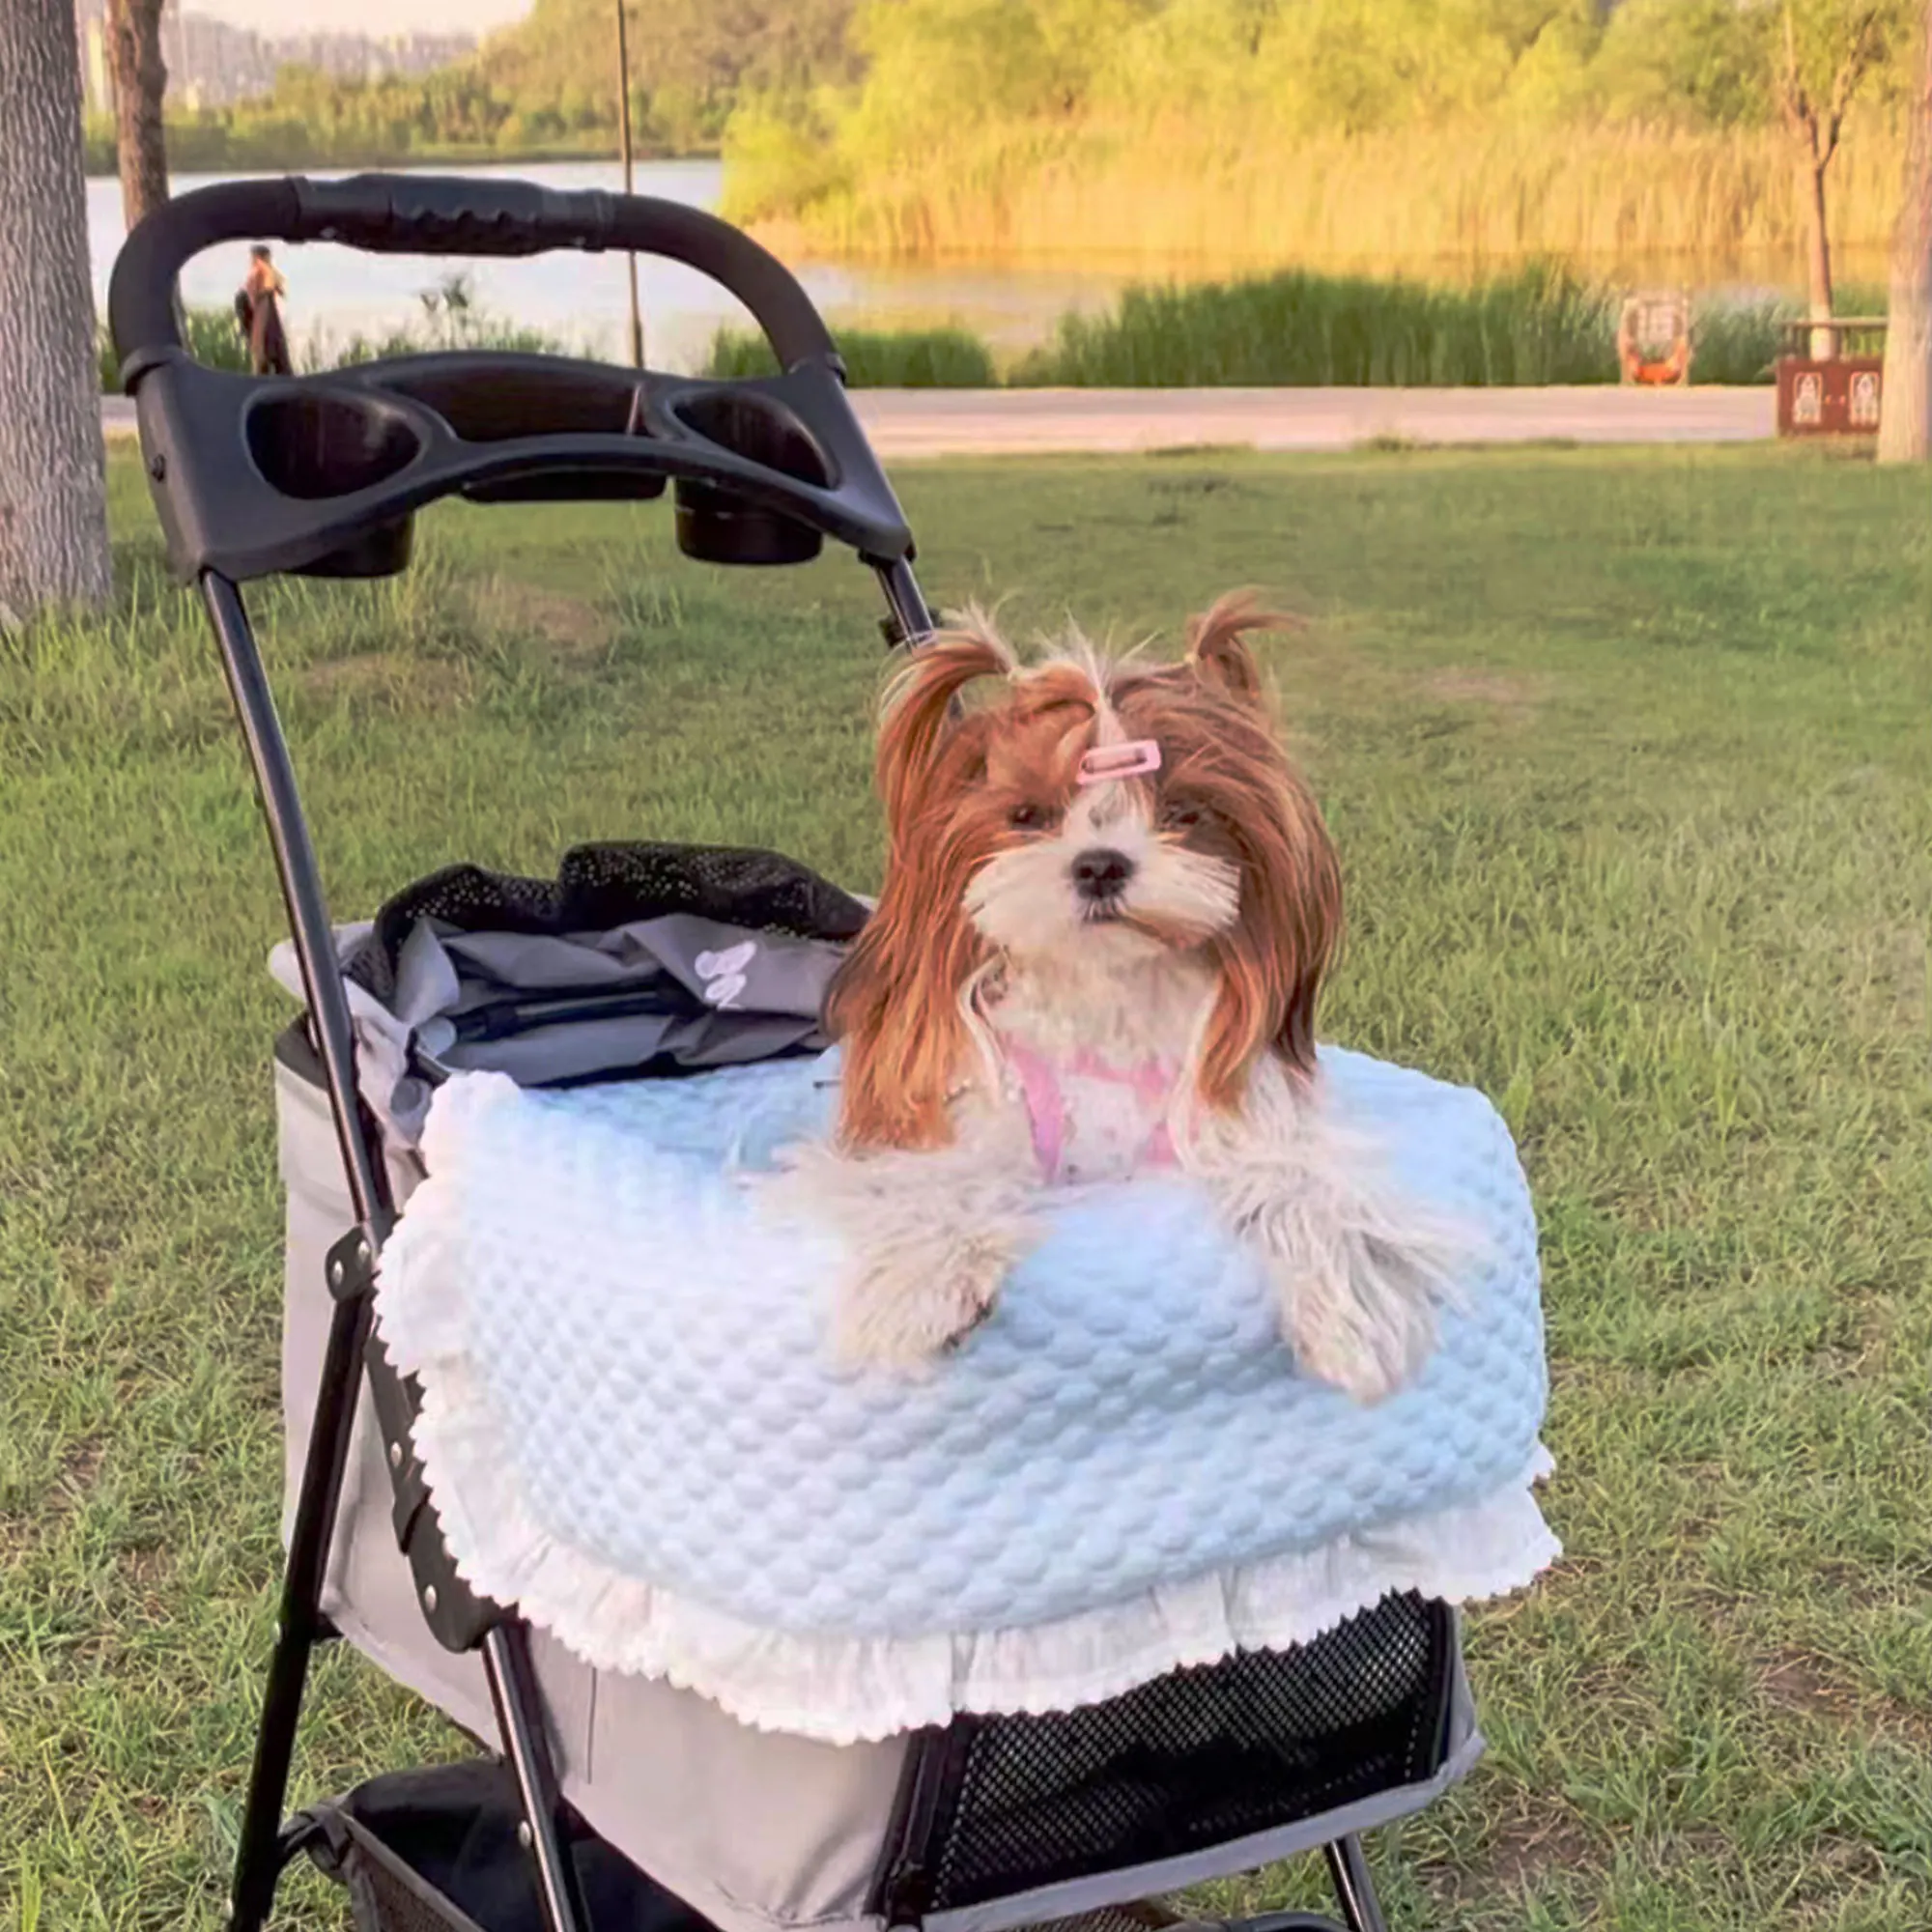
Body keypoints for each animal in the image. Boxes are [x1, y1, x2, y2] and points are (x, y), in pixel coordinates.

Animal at [777, 591, 1468, 1406]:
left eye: (1184, 814)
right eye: (1028, 815)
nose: (1100, 864)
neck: (1104, 993)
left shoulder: (1232, 1113)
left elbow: (1295, 1176)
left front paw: (1351, 1308)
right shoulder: (970, 1115)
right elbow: (936, 1176)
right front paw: (926, 1286)